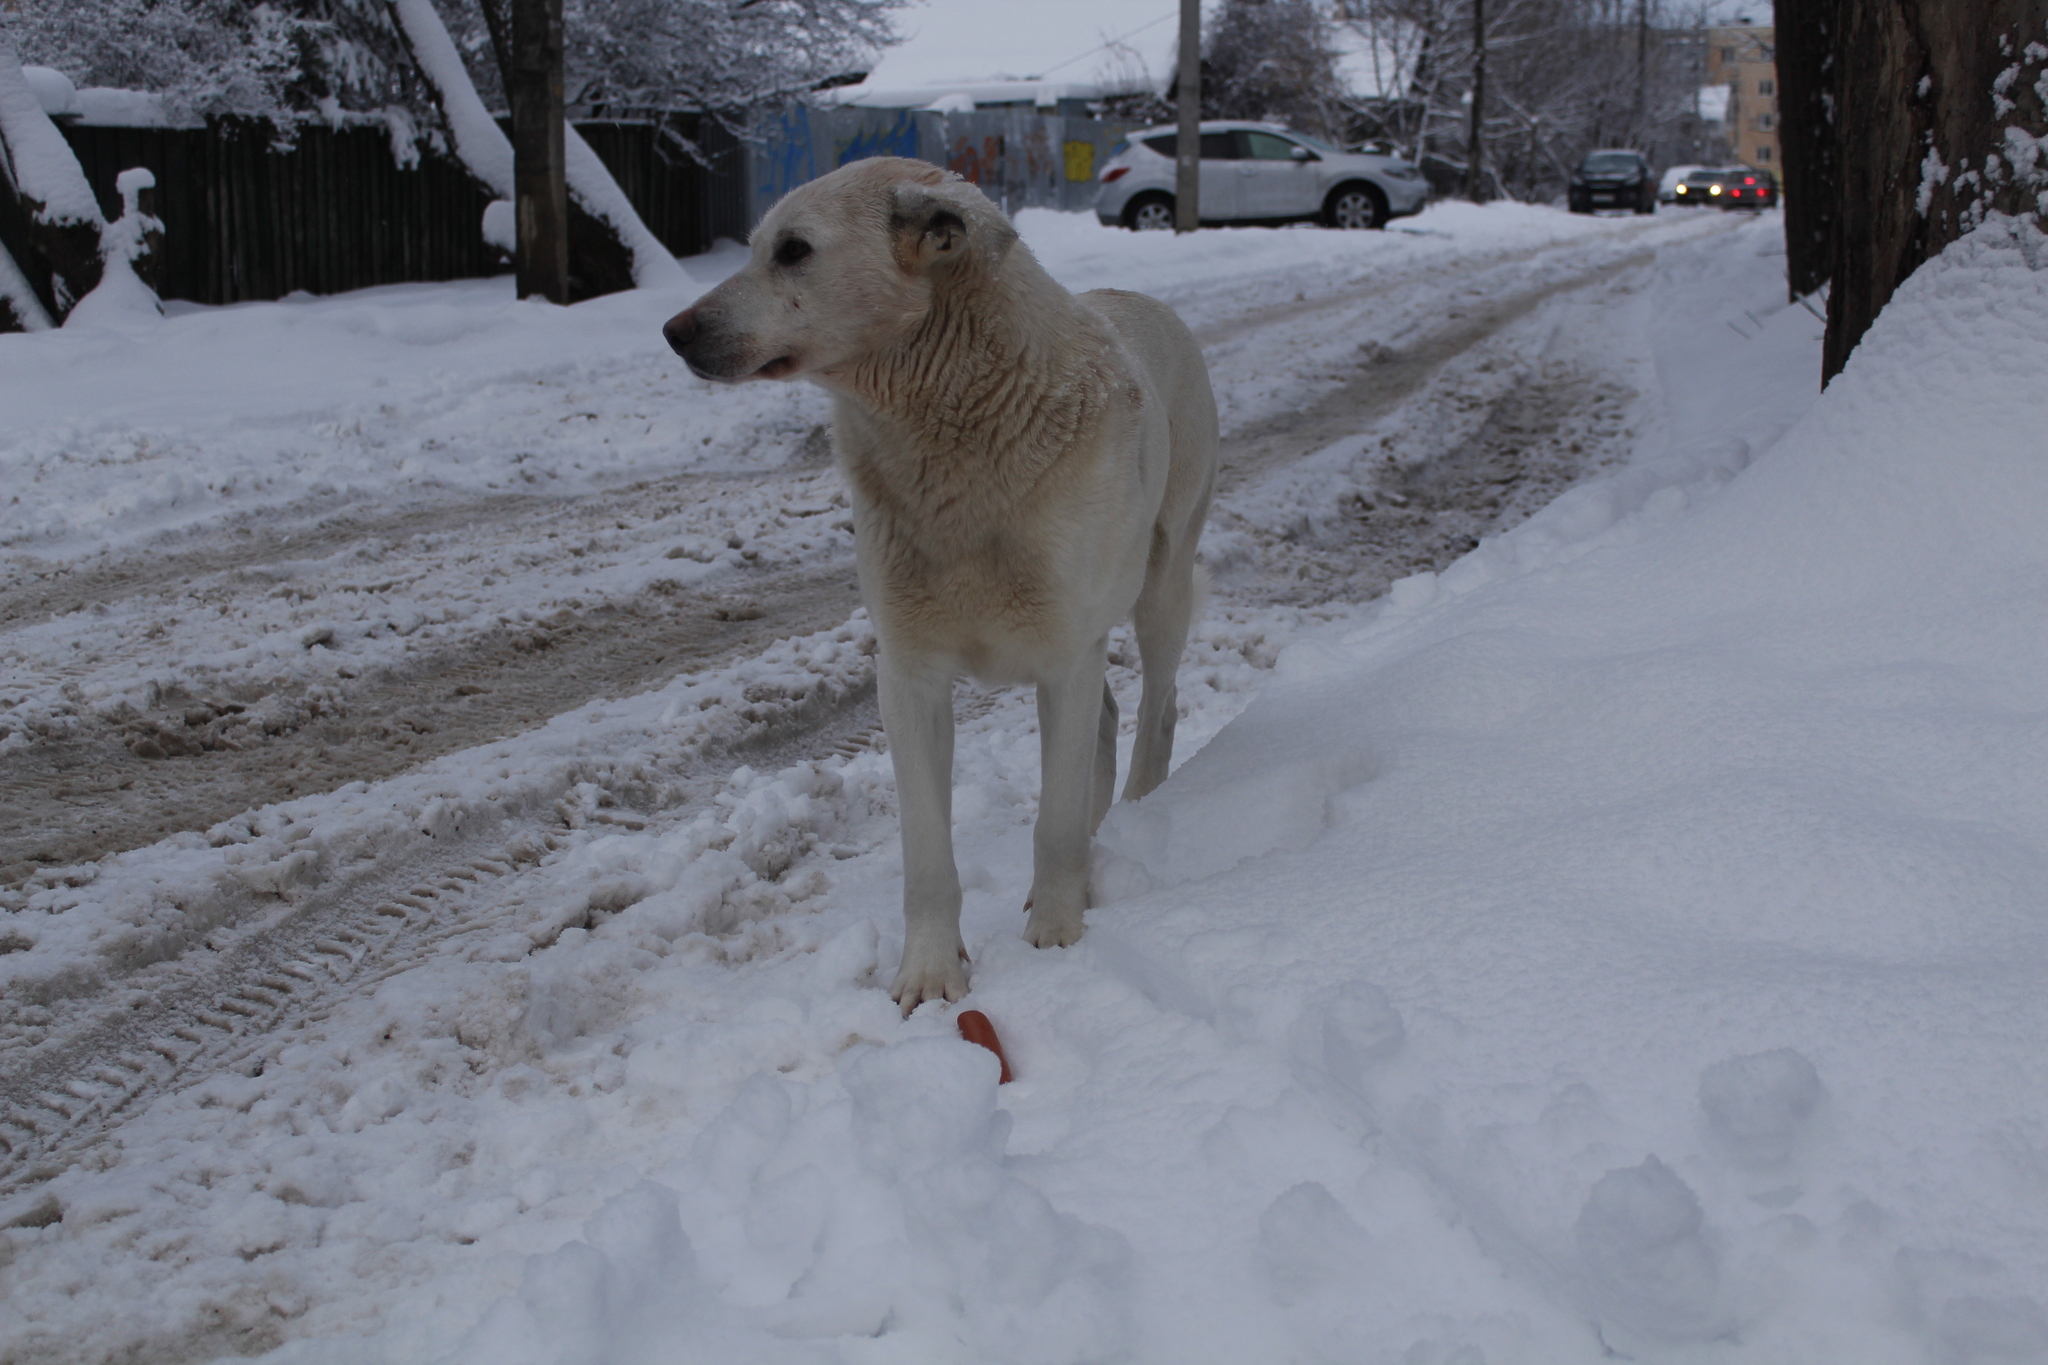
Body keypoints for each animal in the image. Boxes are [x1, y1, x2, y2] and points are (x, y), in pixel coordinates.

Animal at [667, 162, 1212, 1015]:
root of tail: (1144, 299)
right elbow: (928, 853)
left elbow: (1054, 820)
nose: (674, 331)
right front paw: (928, 975)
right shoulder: (909, 674)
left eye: (794, 251)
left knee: (1157, 707)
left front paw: (1057, 938)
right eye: (756, 248)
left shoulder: (1064, 655)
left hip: (1161, 589)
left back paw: (1132, 821)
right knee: (1108, 719)